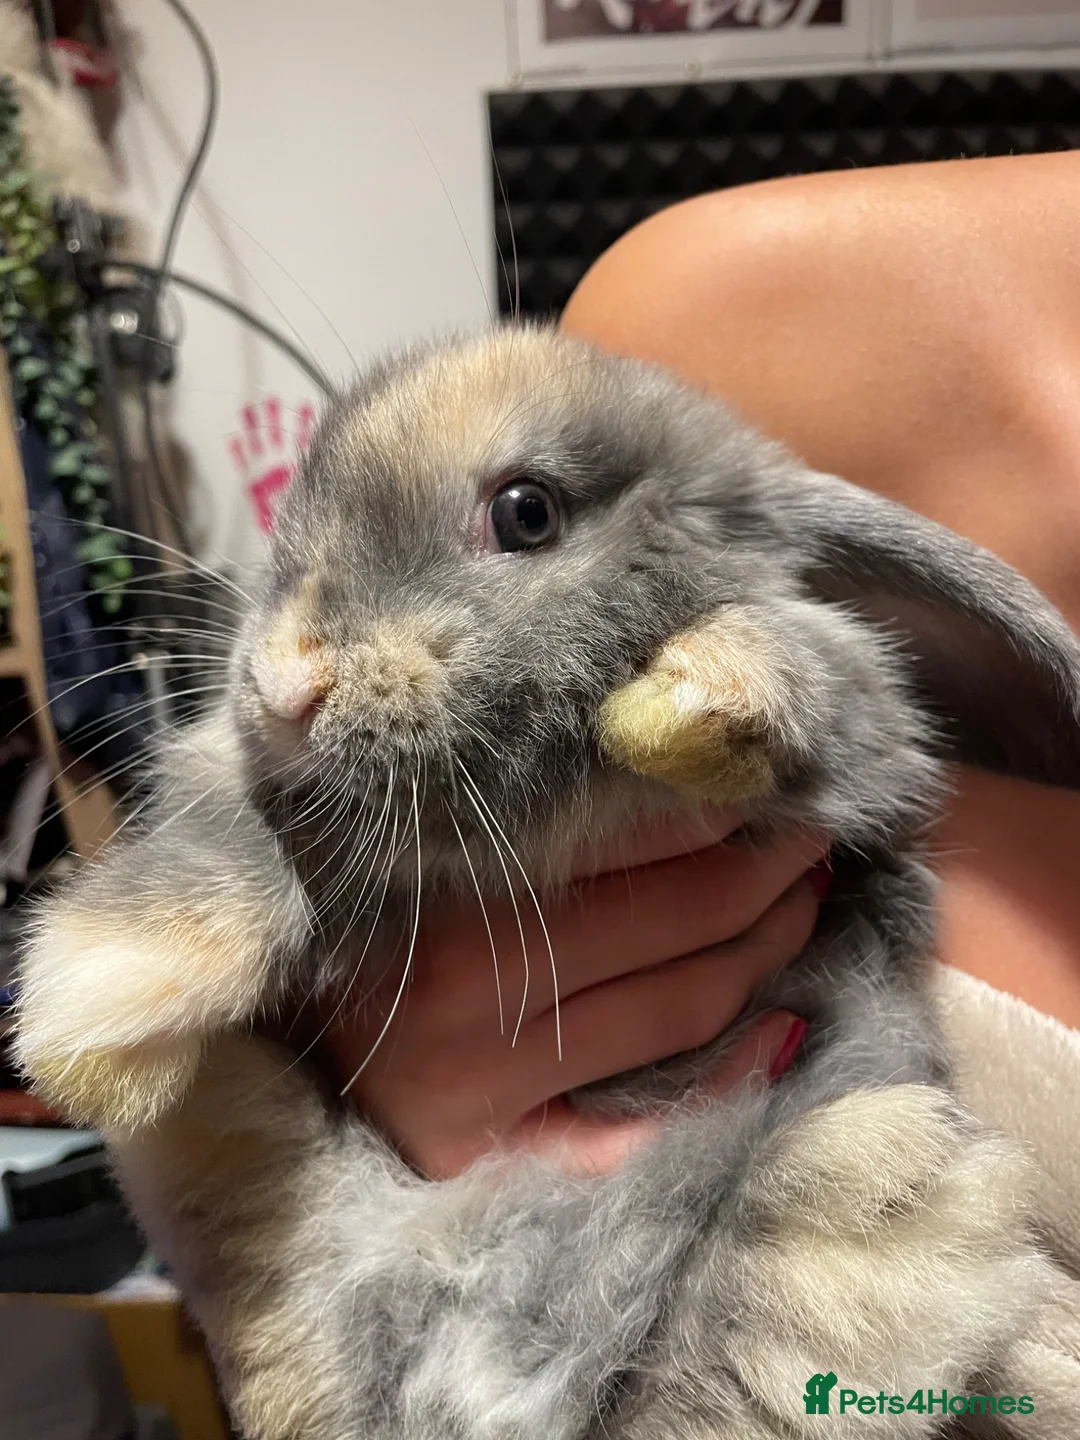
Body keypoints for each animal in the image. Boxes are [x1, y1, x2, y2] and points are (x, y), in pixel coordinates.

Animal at [15, 323, 1080, 1440]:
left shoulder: (866, 735)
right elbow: (246, 817)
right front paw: (99, 1001)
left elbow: (817, 671)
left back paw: (861, 1223)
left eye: (526, 512)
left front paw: (694, 696)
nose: (283, 682)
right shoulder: (257, 784)